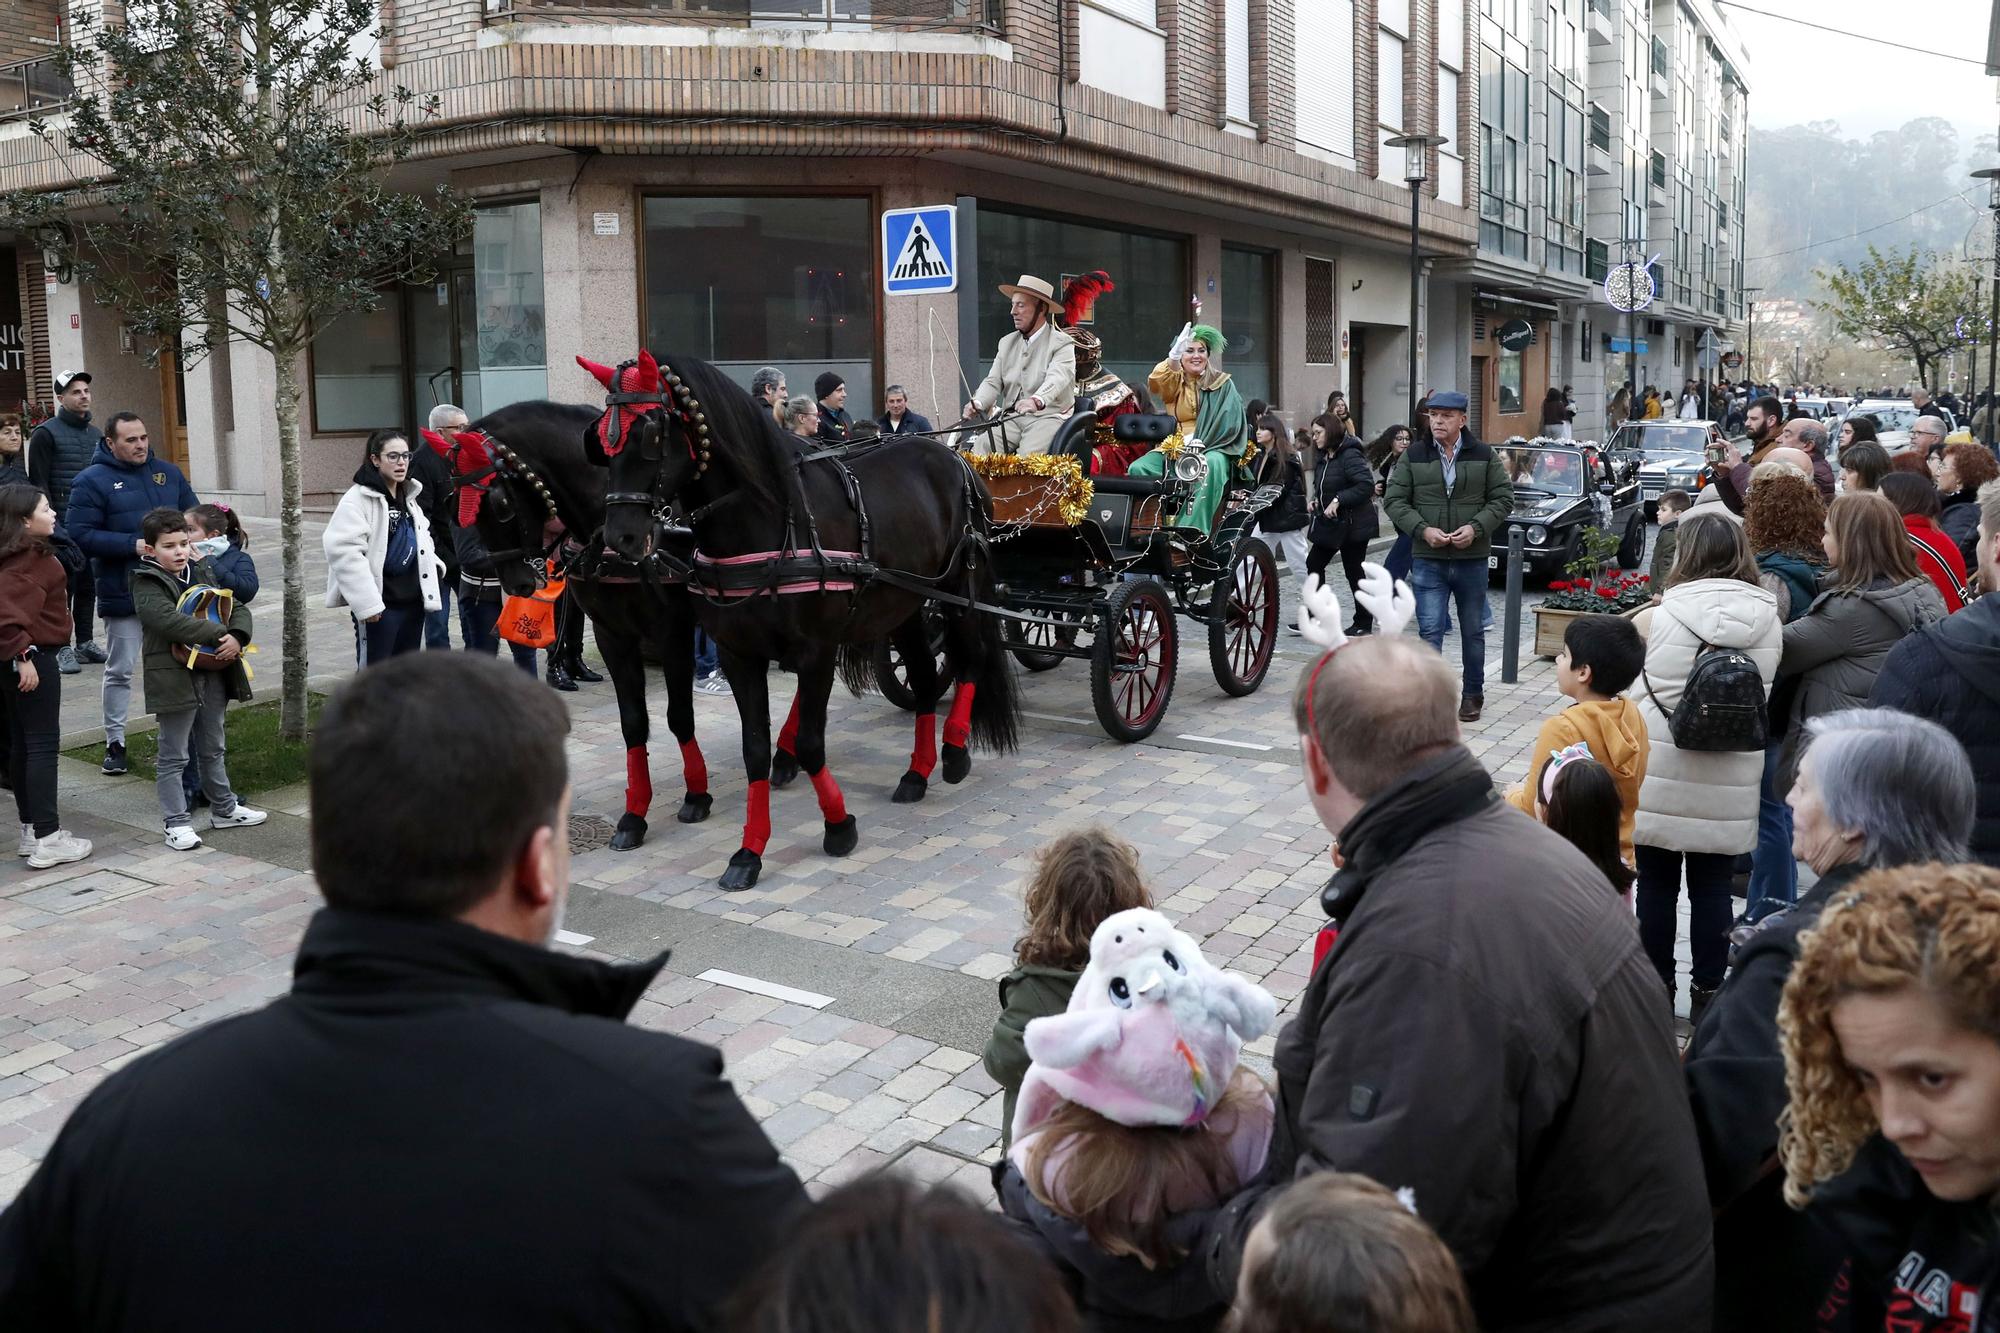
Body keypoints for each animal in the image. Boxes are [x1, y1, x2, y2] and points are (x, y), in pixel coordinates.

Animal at [426, 400, 732, 844]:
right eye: (454, 506)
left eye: (500, 504)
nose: (516, 582)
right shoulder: (611, 634)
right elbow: (633, 723)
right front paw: (634, 816)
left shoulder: (673, 630)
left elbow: (679, 716)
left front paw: (696, 795)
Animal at [576, 348, 1016, 888]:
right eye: (600, 439)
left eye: (653, 432)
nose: (620, 537)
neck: (766, 519)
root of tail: (956, 459)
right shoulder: (737, 653)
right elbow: (754, 749)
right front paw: (749, 852)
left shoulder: (815, 652)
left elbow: (810, 743)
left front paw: (839, 827)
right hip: (906, 602)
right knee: (922, 674)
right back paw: (916, 773)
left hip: (957, 590)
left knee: (972, 655)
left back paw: (954, 751)